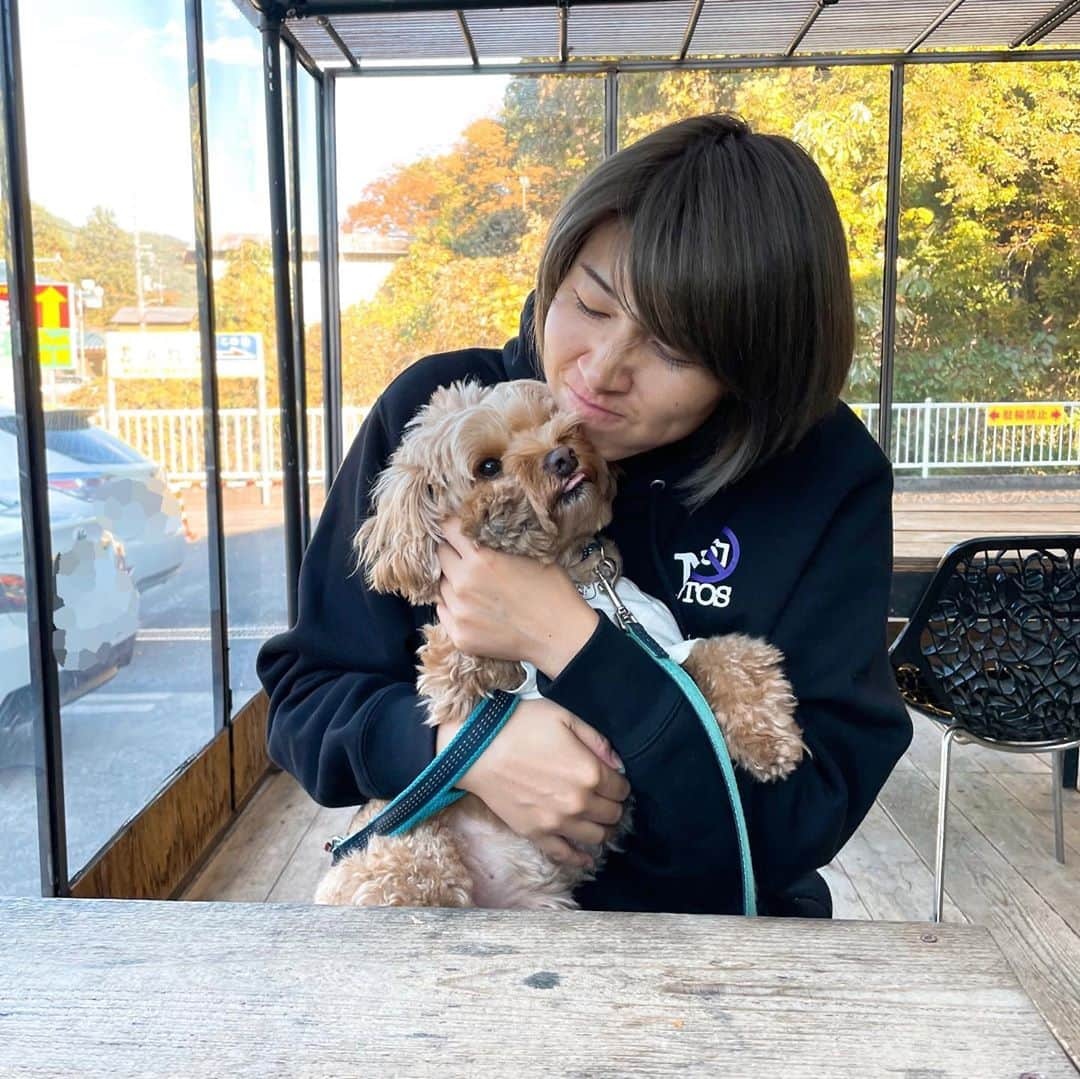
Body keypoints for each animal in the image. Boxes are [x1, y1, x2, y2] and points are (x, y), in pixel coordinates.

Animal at [313, 380, 803, 911]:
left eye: (552, 420)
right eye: (488, 467)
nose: (563, 456)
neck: (580, 580)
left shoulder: (663, 648)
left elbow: (730, 656)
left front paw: (770, 739)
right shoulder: (454, 678)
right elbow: (455, 666)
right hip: (406, 855)